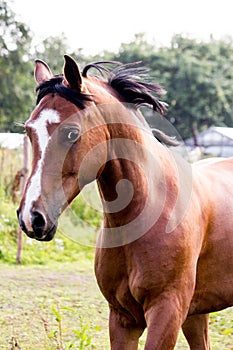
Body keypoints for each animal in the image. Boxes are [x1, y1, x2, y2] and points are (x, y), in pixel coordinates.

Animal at [17, 54, 233, 348]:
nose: (32, 217)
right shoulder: (122, 318)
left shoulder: (166, 312)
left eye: (71, 133)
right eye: (29, 130)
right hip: (196, 314)